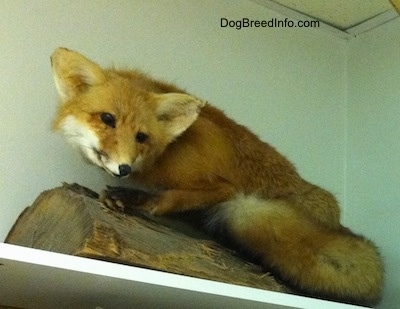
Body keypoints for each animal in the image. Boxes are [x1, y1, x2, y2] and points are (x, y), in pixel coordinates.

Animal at [50, 47, 384, 304]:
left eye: (141, 137)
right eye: (108, 118)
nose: (124, 169)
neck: (168, 151)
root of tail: (337, 222)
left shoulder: (223, 187)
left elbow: (169, 198)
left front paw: (135, 199)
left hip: (246, 210)